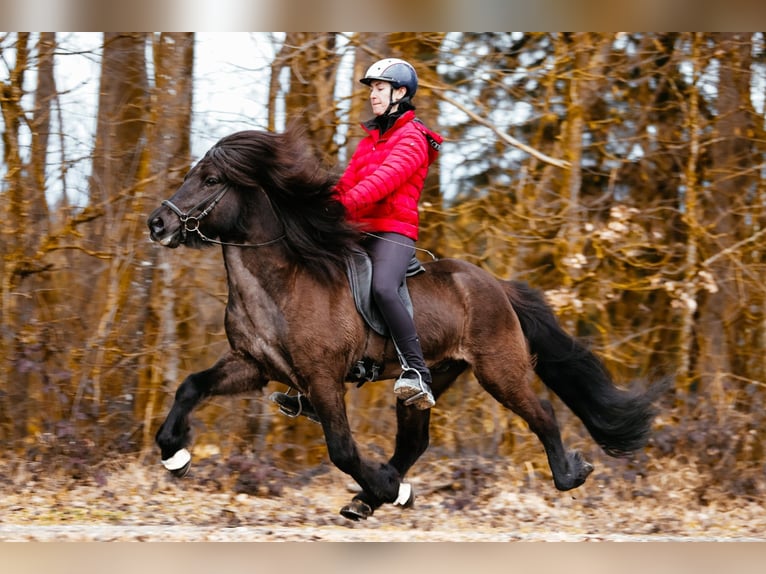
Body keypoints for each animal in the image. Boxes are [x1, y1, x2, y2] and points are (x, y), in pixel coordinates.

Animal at [147, 129, 664, 520]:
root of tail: (495, 285)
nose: (157, 224)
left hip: (500, 369)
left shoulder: (322, 377)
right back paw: (371, 497)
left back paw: (568, 475)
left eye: (211, 179)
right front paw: (175, 454)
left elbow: (342, 449)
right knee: (415, 440)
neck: (281, 283)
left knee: (541, 414)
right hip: (429, 380)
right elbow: (191, 386)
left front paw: (385, 487)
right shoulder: (253, 365)